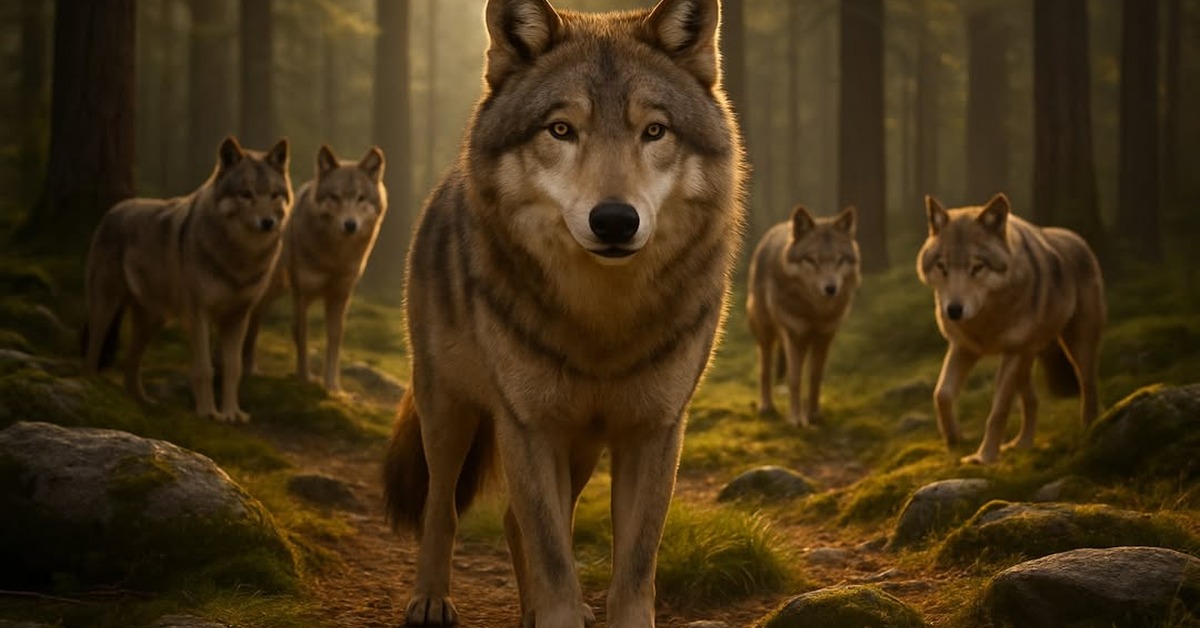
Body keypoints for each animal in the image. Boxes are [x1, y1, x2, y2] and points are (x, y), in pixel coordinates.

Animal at [84, 136, 292, 422]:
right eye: (246, 194)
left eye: (274, 195)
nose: (268, 222)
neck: (240, 258)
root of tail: (115, 208)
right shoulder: (198, 313)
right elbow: (204, 368)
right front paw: (208, 412)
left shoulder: (238, 317)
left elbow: (233, 368)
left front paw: (232, 413)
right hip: (107, 305)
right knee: (93, 347)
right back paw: (92, 385)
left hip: (153, 320)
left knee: (130, 363)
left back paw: (142, 401)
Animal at [242, 145, 387, 392]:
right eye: (335, 197)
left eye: (360, 198)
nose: (350, 225)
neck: (334, 257)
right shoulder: (303, 294)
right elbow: (302, 336)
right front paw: (304, 378)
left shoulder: (340, 297)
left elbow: (334, 342)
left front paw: (333, 387)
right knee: (253, 320)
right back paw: (249, 369)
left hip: (278, 289)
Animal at [383, 0, 745, 625]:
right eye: (561, 130)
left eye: (654, 131)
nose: (615, 221)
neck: (602, 320)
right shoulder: (528, 427)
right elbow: (554, 562)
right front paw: (554, 609)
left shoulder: (654, 432)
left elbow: (631, 573)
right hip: (450, 412)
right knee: (442, 507)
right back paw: (429, 598)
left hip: (581, 448)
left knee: (513, 519)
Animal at [747, 205, 859, 428]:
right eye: (812, 260)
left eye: (839, 260)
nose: (831, 288)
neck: (814, 310)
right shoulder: (793, 334)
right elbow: (794, 379)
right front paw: (796, 419)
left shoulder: (824, 335)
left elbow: (815, 377)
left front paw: (813, 415)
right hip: (766, 332)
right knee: (764, 369)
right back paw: (766, 407)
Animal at [917, 193, 1105, 465]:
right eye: (942, 267)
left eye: (977, 267)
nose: (953, 311)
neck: (987, 318)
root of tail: (1079, 239)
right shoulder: (963, 348)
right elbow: (941, 395)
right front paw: (954, 440)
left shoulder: (1011, 352)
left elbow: (998, 411)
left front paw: (984, 457)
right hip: (1027, 357)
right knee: (1033, 399)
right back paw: (1021, 443)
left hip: (1075, 345)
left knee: (1088, 384)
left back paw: (1088, 428)